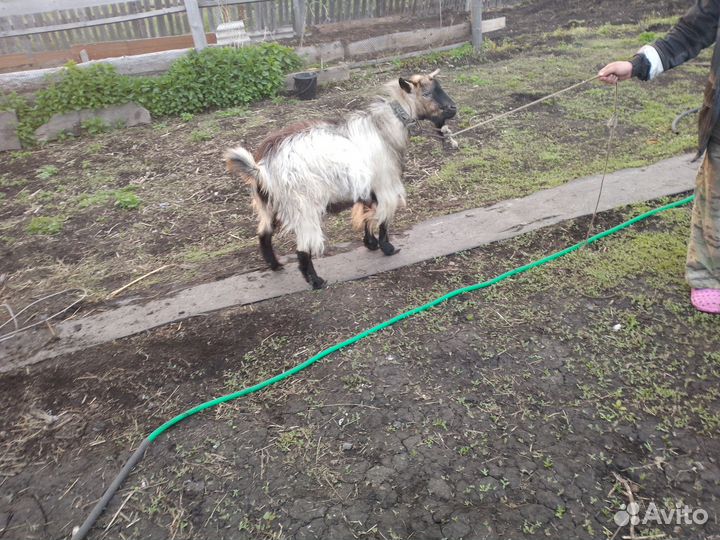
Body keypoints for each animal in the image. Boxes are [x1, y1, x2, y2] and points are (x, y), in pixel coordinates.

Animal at [225, 70, 457, 289]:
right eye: (426, 94)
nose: (453, 108)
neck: (383, 130)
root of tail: (261, 168)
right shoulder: (385, 185)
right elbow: (383, 219)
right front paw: (387, 248)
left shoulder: (366, 188)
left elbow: (367, 215)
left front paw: (370, 243)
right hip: (302, 207)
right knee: (303, 247)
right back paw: (316, 281)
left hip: (268, 205)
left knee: (264, 234)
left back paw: (275, 265)